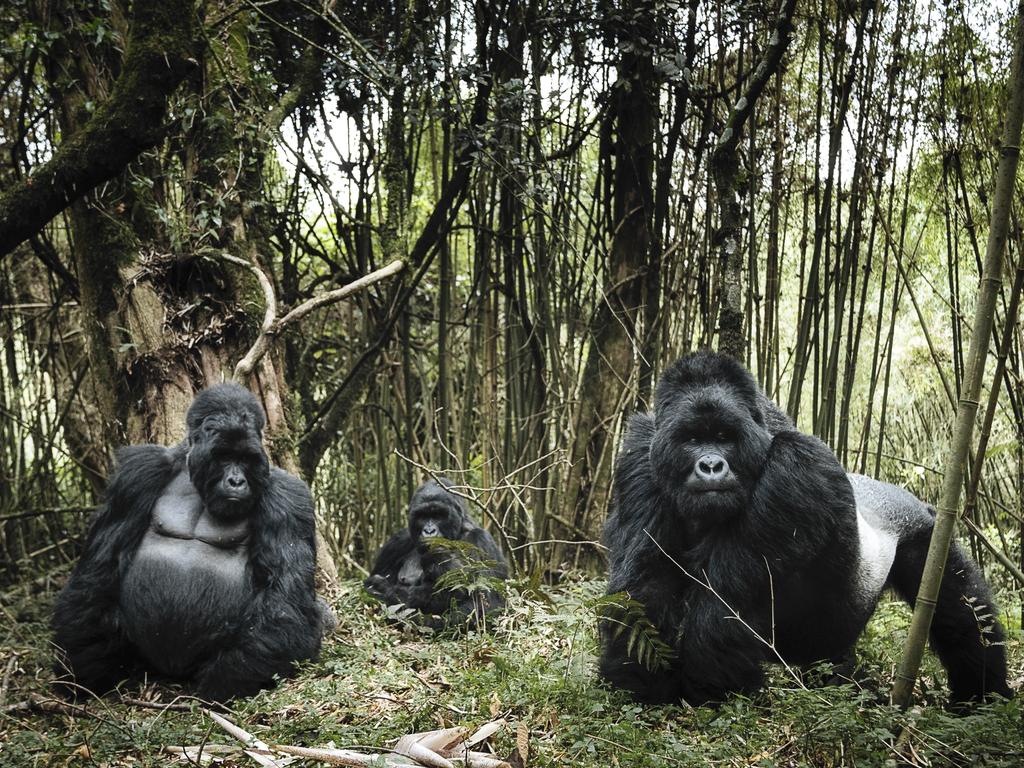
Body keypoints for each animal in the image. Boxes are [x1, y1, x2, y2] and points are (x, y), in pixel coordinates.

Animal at [52, 385, 331, 704]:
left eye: (245, 459)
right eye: (224, 456)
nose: (236, 481)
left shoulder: (288, 498)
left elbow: (286, 602)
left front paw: (222, 683)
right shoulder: (136, 474)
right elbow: (99, 568)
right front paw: (83, 669)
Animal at [368, 481, 512, 630]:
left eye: (438, 516)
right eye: (422, 516)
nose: (429, 531)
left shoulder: (481, 540)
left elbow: (487, 606)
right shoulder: (397, 543)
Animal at [598, 352, 1011, 708]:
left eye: (725, 437)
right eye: (694, 439)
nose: (711, 466)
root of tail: (910, 499)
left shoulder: (796, 466)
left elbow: (727, 603)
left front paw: (712, 692)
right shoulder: (638, 455)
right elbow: (645, 583)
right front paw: (640, 682)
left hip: (926, 535)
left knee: (962, 617)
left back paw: (982, 695)